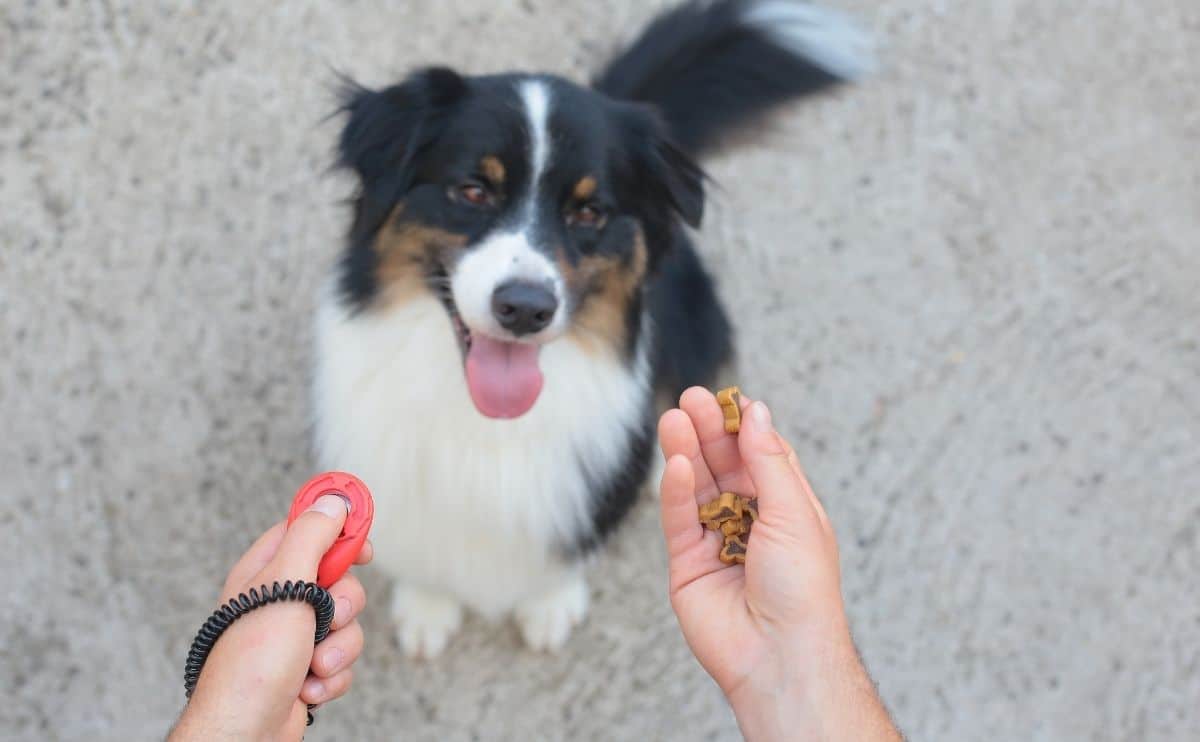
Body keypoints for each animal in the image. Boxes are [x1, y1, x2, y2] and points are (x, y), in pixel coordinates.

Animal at [314, 0, 868, 653]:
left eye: (589, 211)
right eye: (472, 190)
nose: (525, 308)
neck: (487, 423)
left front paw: (549, 602)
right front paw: (428, 606)